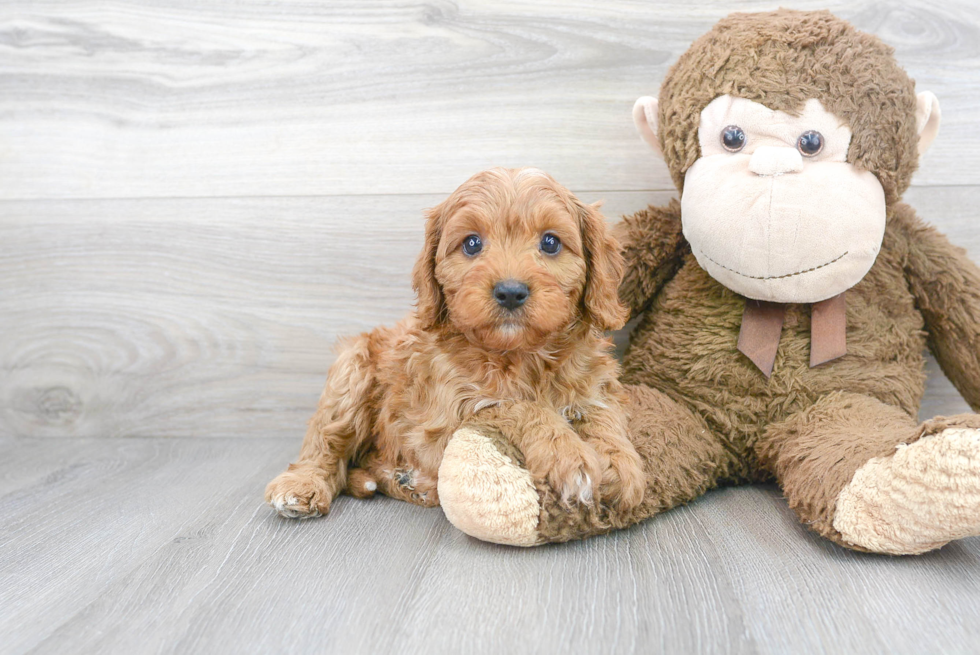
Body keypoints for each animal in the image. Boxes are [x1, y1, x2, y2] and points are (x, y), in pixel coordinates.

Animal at [264, 168, 648, 516]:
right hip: (352, 371)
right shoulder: (447, 419)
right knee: (326, 441)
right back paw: (303, 484)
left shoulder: (593, 385)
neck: (521, 356)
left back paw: (403, 480)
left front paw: (619, 464)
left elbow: (602, 415)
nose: (510, 292)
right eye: (472, 243)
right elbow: (517, 406)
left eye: (550, 242)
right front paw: (569, 456)